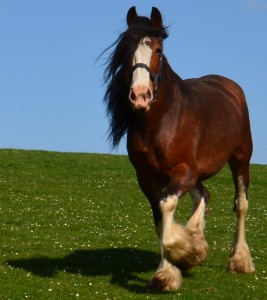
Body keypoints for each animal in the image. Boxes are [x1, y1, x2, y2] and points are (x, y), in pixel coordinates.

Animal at [102, 6, 255, 290]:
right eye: (126, 50)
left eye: (158, 50)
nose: (140, 96)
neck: (160, 121)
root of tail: (229, 86)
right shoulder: (147, 178)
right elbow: (160, 219)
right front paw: (175, 265)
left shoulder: (183, 171)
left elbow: (167, 208)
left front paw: (179, 259)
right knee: (203, 194)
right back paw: (197, 238)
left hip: (240, 159)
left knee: (241, 204)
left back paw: (240, 260)